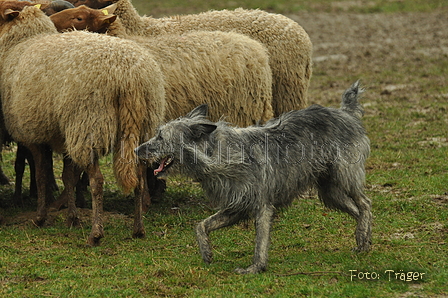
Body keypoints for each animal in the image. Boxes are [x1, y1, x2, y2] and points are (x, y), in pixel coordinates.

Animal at [0, 1, 166, 244]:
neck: (20, 42)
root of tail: (129, 76)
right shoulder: (64, 134)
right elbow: (68, 176)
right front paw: (72, 218)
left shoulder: (33, 133)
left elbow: (41, 176)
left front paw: (40, 217)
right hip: (141, 126)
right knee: (139, 177)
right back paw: (138, 229)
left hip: (89, 123)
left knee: (97, 180)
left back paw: (96, 234)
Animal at [136, 80, 372, 274]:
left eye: (160, 136)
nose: (136, 149)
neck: (216, 154)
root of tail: (345, 113)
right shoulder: (235, 207)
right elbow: (201, 225)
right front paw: (206, 252)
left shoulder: (262, 207)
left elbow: (260, 243)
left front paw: (255, 267)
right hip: (330, 192)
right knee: (358, 210)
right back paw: (364, 239)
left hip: (344, 178)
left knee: (365, 204)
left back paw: (363, 234)